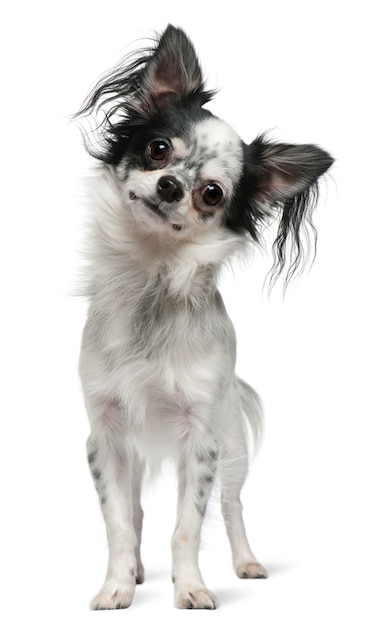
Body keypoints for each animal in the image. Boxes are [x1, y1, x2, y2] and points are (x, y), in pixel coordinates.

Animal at [75, 26, 334, 608]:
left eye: (211, 194)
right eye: (157, 150)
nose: (171, 184)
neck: (152, 278)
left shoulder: (202, 441)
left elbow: (187, 526)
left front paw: (190, 588)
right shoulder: (106, 435)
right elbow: (118, 520)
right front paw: (117, 585)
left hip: (232, 447)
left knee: (232, 507)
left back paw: (246, 563)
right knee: (137, 507)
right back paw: (139, 572)